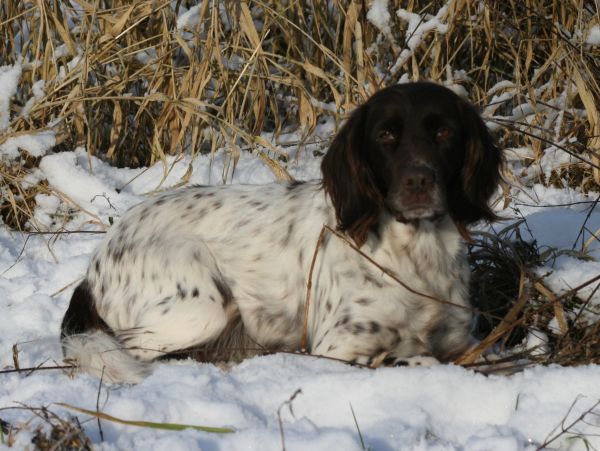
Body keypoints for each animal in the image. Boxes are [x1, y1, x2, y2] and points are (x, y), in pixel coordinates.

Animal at [62, 80, 502, 382]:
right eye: (386, 134)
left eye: (444, 132)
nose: (418, 181)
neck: (414, 254)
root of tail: (93, 266)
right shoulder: (338, 347)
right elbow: (416, 357)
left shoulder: (461, 339)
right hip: (201, 302)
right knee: (134, 351)